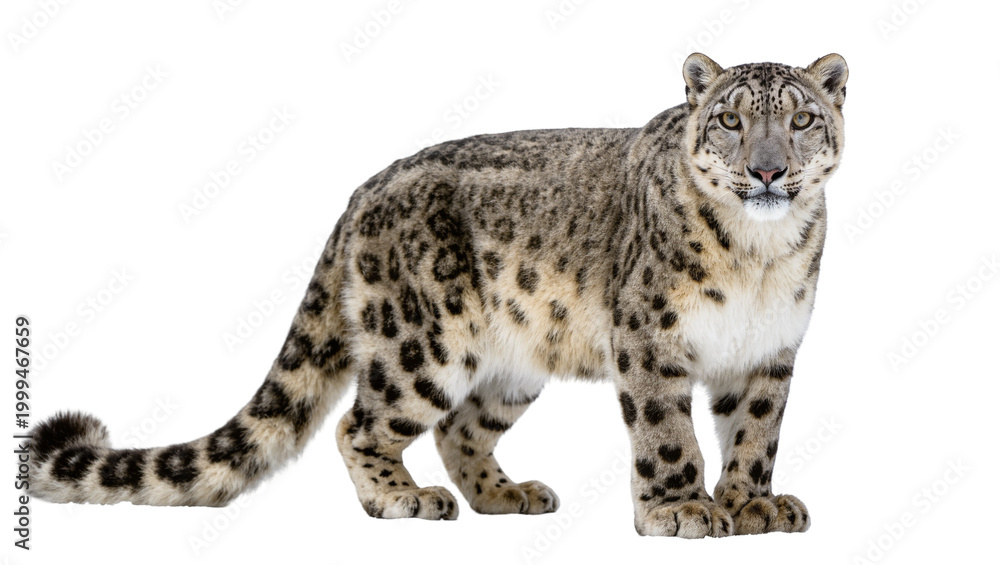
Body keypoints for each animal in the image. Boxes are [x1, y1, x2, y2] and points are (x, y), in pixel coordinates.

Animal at [28, 52, 847, 538]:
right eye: (731, 120)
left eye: (803, 119)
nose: (769, 170)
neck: (760, 258)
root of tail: (365, 189)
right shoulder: (651, 341)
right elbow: (668, 433)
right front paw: (680, 508)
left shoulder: (771, 350)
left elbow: (755, 433)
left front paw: (754, 504)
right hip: (423, 345)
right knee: (359, 423)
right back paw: (403, 499)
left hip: (512, 365)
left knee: (461, 428)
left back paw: (507, 494)